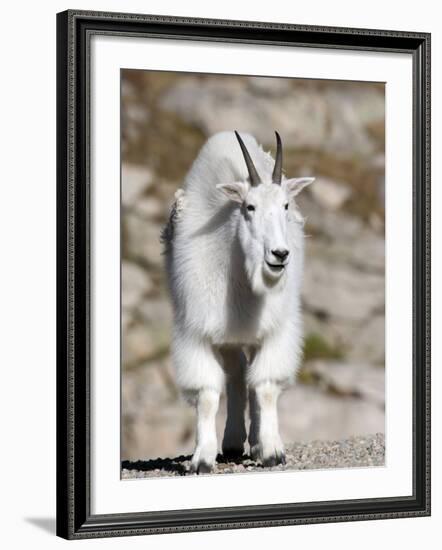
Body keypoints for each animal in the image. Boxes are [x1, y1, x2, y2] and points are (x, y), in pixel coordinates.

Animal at [162, 130, 314, 474]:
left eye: (286, 205)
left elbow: (266, 386)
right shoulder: (197, 332)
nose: (279, 255)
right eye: (249, 207)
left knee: (250, 378)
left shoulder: (275, 330)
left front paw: (271, 451)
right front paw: (202, 458)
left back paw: (255, 442)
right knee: (237, 373)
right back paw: (232, 442)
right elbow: (206, 394)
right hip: (228, 338)